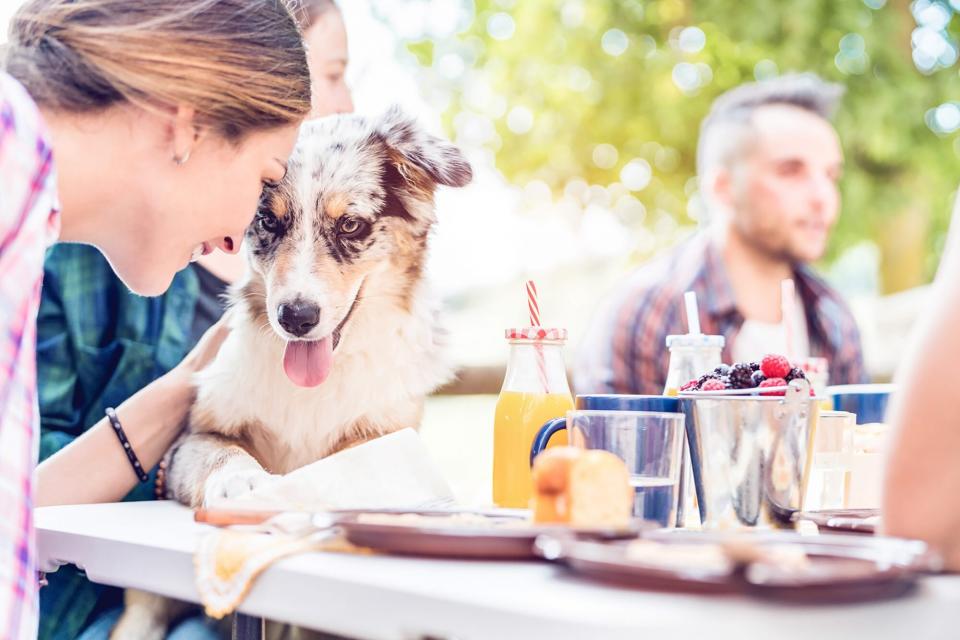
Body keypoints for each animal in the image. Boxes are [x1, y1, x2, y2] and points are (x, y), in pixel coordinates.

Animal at [109, 107, 472, 636]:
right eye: (267, 220)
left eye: (350, 225)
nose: (296, 317)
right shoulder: (194, 434)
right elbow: (219, 452)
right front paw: (242, 482)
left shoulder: (384, 430)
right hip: (145, 606)